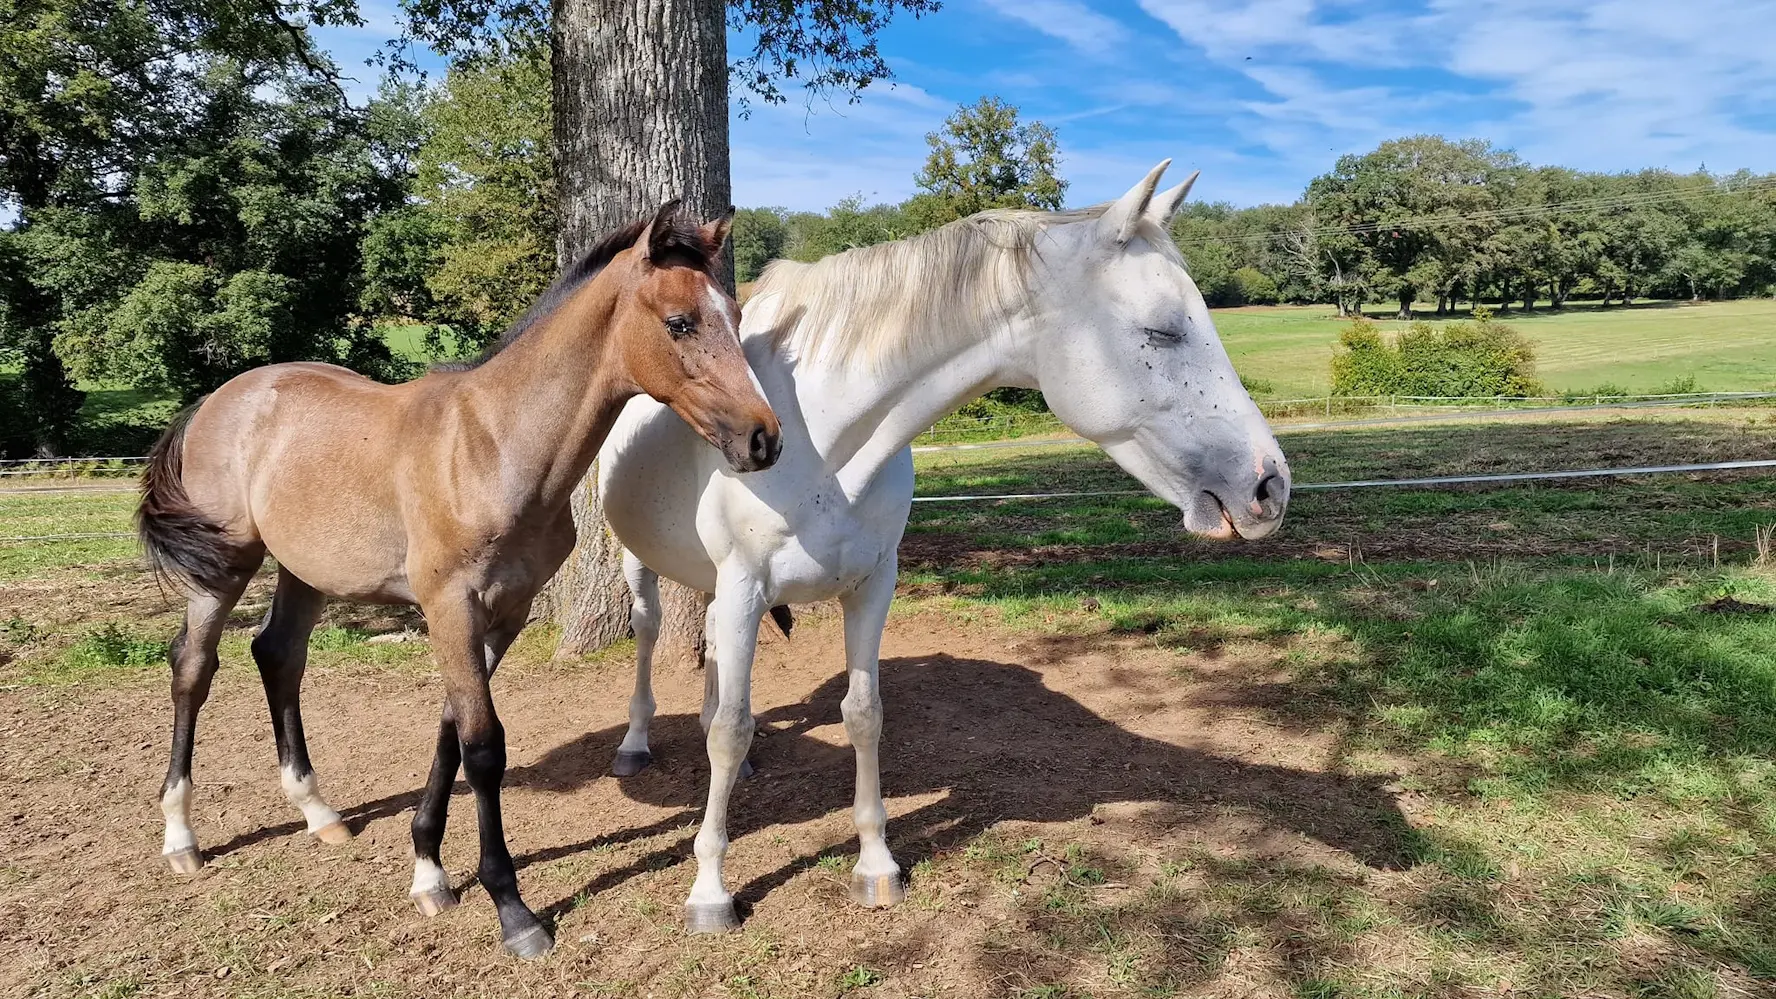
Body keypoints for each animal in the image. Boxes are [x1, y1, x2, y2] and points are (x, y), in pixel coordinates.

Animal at [138, 198, 777, 952]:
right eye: (680, 322)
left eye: (734, 314)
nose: (763, 438)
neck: (493, 446)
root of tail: (217, 399)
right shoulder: (449, 606)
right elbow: (482, 746)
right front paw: (512, 908)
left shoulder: (503, 611)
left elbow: (450, 728)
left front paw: (429, 870)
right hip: (226, 567)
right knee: (192, 667)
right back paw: (180, 835)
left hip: (306, 571)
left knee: (278, 654)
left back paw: (318, 812)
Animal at [596, 159, 1292, 931]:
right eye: (1162, 331)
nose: (1269, 486)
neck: (819, 440)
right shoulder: (748, 584)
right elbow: (729, 730)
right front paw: (710, 890)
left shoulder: (870, 585)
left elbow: (861, 715)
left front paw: (875, 865)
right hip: (641, 567)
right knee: (649, 633)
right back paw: (634, 745)